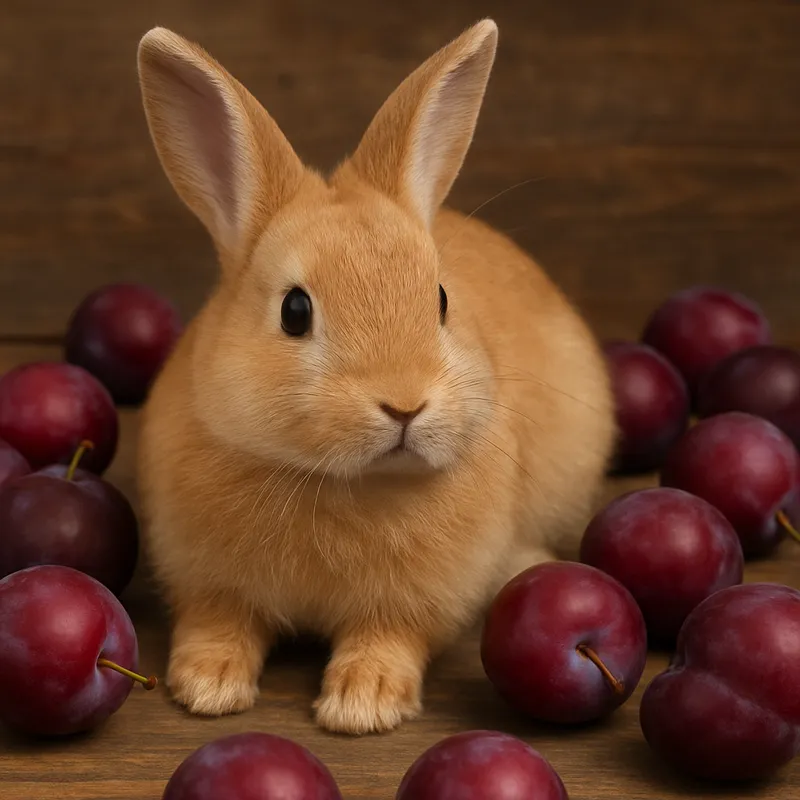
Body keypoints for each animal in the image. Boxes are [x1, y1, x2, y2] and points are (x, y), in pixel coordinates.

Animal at [135, 18, 616, 736]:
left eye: (440, 300)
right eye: (295, 311)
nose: (405, 405)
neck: (337, 482)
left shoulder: (414, 602)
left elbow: (389, 637)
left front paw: (363, 704)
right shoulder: (204, 579)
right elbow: (216, 623)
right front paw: (206, 686)